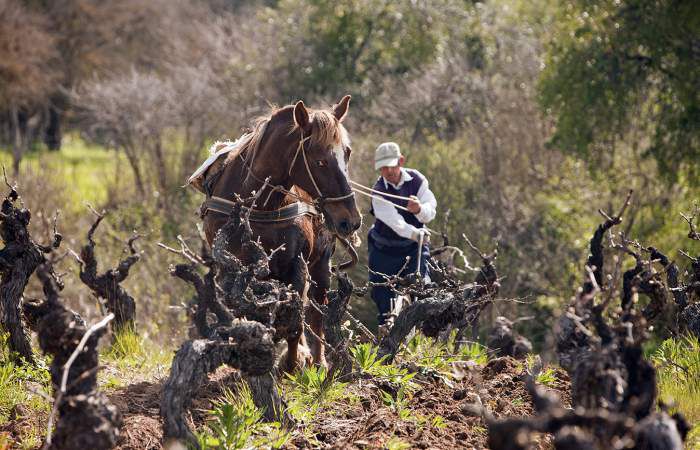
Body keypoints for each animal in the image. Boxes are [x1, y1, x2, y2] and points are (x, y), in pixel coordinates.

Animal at [196, 95, 360, 370]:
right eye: (319, 160)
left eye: (346, 153)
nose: (351, 220)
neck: (259, 206)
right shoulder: (232, 269)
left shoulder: (297, 265)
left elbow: (296, 320)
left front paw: (292, 364)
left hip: (320, 265)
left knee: (316, 311)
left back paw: (317, 360)